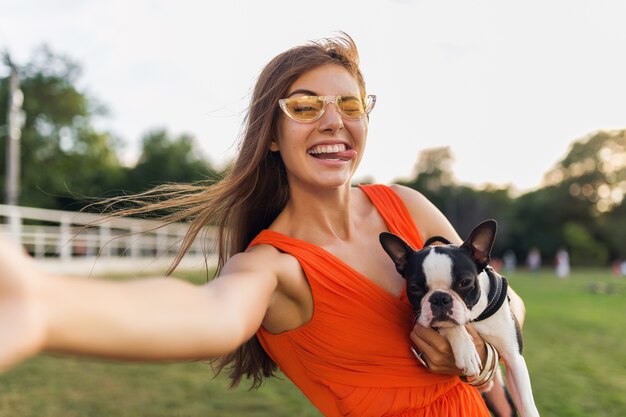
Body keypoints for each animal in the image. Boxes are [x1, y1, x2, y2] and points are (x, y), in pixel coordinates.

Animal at [378, 218, 540, 416]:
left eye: (465, 282)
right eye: (414, 288)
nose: (439, 298)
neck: (474, 318)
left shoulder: (514, 357)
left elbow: (527, 403)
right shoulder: (424, 320)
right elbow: (452, 326)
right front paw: (466, 351)